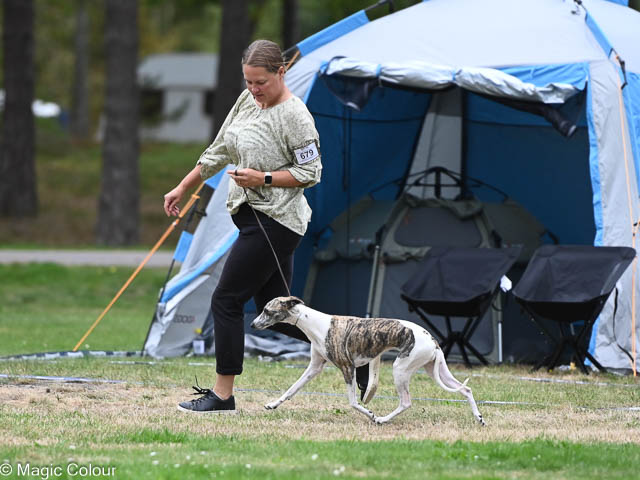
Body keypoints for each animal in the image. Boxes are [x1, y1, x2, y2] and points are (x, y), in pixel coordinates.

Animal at [251, 296, 485, 425]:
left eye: (267, 310)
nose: (252, 325)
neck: (316, 324)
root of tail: (433, 340)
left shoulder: (348, 367)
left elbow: (353, 402)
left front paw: (371, 414)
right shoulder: (314, 367)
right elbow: (292, 389)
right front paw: (272, 404)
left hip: (400, 368)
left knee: (406, 402)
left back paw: (381, 420)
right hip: (435, 369)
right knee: (466, 389)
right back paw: (479, 418)